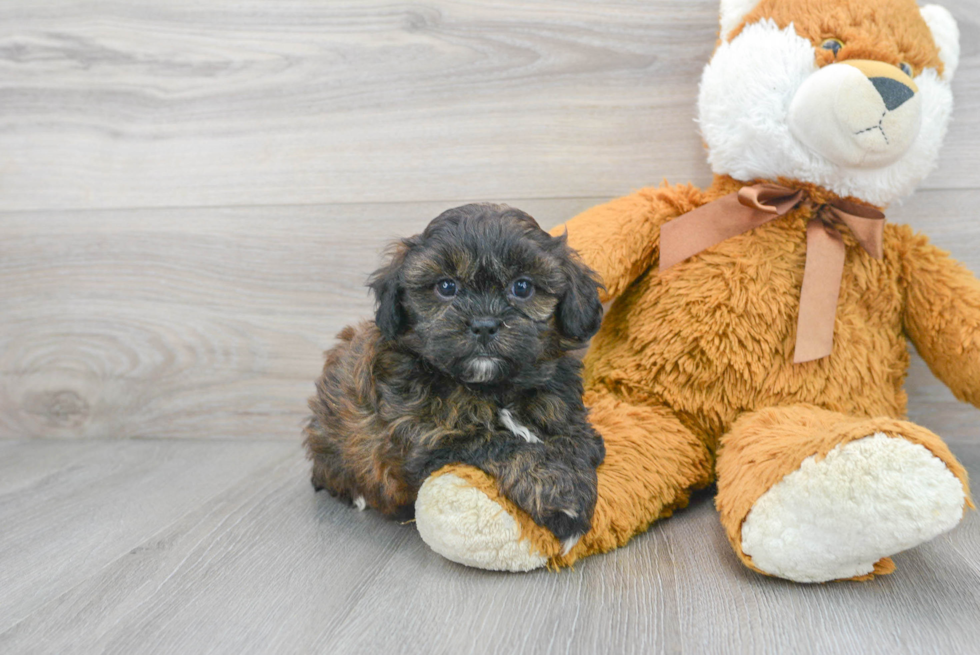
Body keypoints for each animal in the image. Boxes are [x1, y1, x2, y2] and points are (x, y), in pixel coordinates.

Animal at [304, 204, 604, 548]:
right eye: (446, 287)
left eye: (522, 287)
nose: (484, 324)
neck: (492, 388)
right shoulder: (427, 438)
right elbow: (504, 443)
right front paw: (560, 495)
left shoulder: (564, 407)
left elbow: (575, 439)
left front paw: (575, 473)